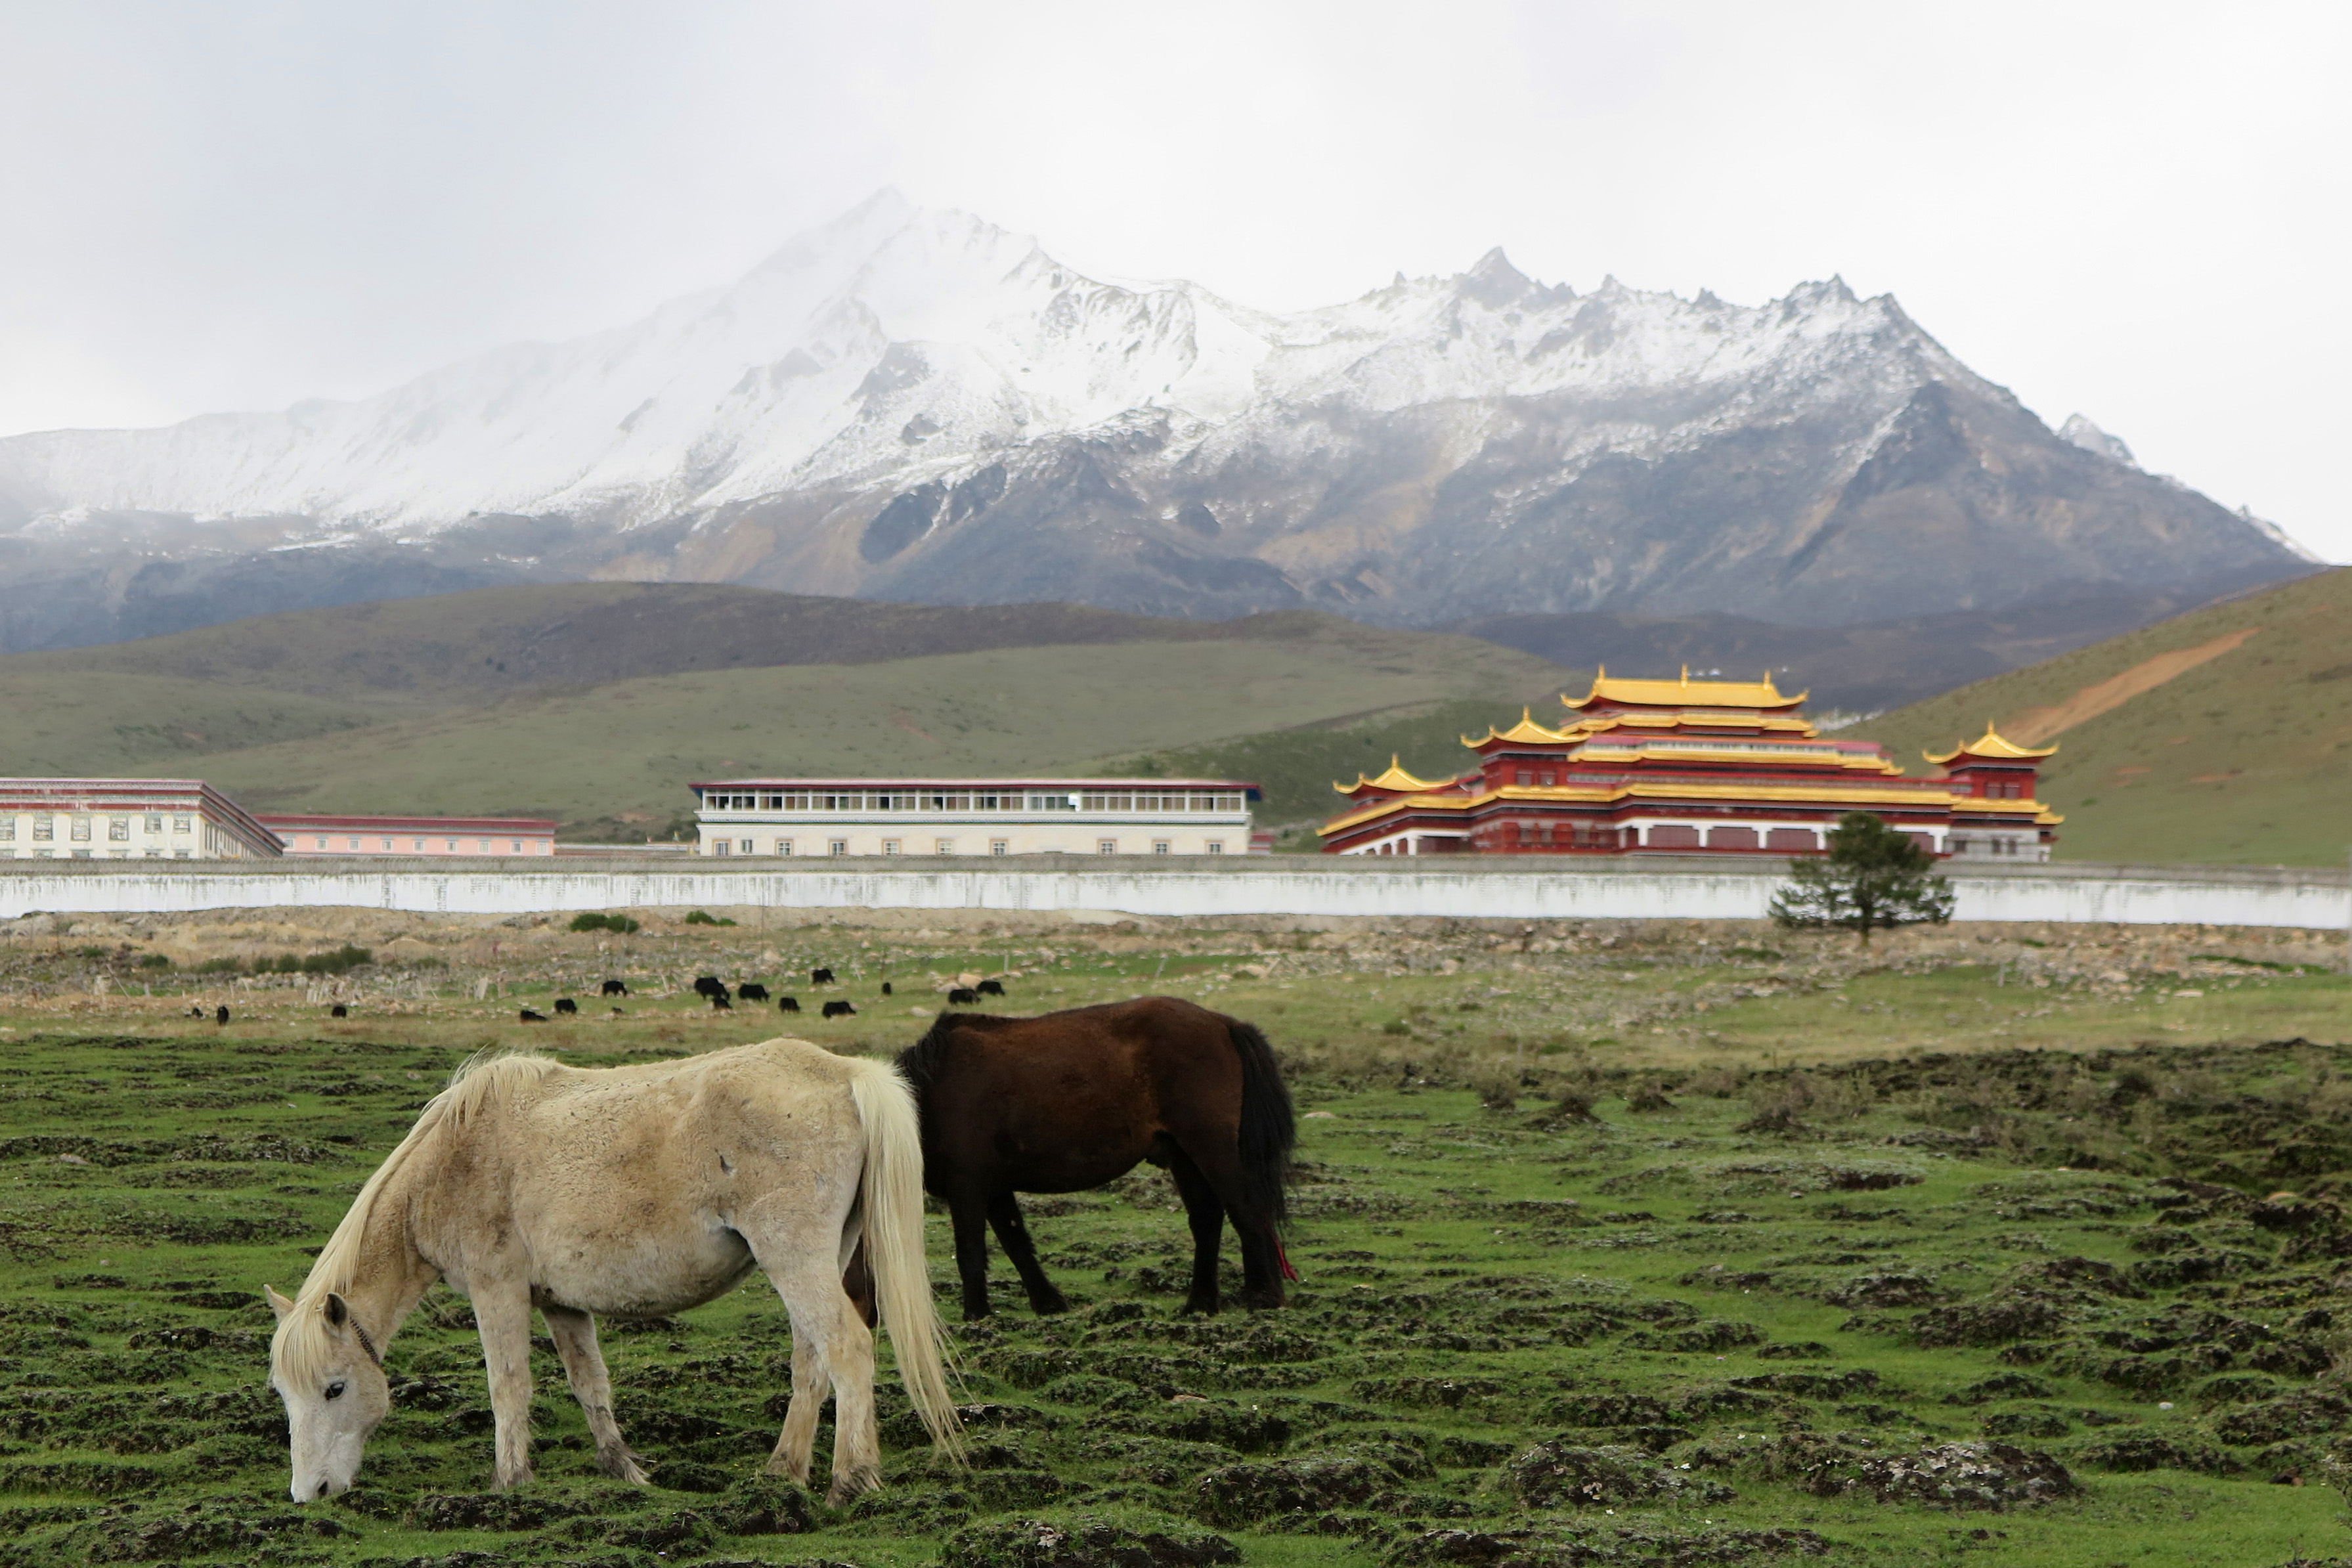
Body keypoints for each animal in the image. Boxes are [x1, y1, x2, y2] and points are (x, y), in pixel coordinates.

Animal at [259, 1043, 955, 1504]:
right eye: (285, 1395)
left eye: (334, 1389)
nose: (309, 1492)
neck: (453, 1161)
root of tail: (845, 1074)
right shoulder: (560, 1303)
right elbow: (589, 1384)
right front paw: (624, 1469)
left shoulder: (497, 1292)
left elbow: (508, 1387)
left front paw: (511, 1482)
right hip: (820, 1261)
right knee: (811, 1363)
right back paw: (784, 1470)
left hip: (795, 1260)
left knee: (847, 1348)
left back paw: (850, 1481)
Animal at [898, 1001, 1307, 1316]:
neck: (930, 1093)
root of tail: (1224, 1023)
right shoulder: (995, 1188)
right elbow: (1017, 1243)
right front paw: (1048, 1303)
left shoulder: (968, 1185)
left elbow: (970, 1250)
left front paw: (977, 1314)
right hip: (1185, 1157)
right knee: (1208, 1220)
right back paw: (1200, 1304)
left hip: (1212, 1149)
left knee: (1247, 1211)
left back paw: (1262, 1297)